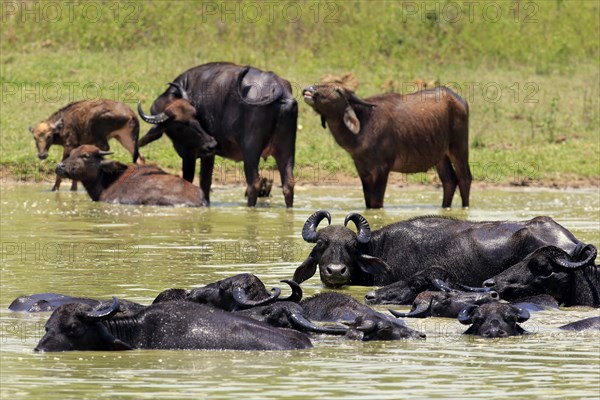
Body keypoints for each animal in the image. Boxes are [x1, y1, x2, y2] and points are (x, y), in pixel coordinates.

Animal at [136, 63, 296, 206]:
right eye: (179, 124)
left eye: (195, 115)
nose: (212, 143)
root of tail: (278, 88)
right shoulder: (208, 153)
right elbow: (205, 183)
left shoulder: (192, 153)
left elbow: (192, 179)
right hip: (286, 150)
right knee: (288, 184)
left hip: (251, 151)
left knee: (253, 184)